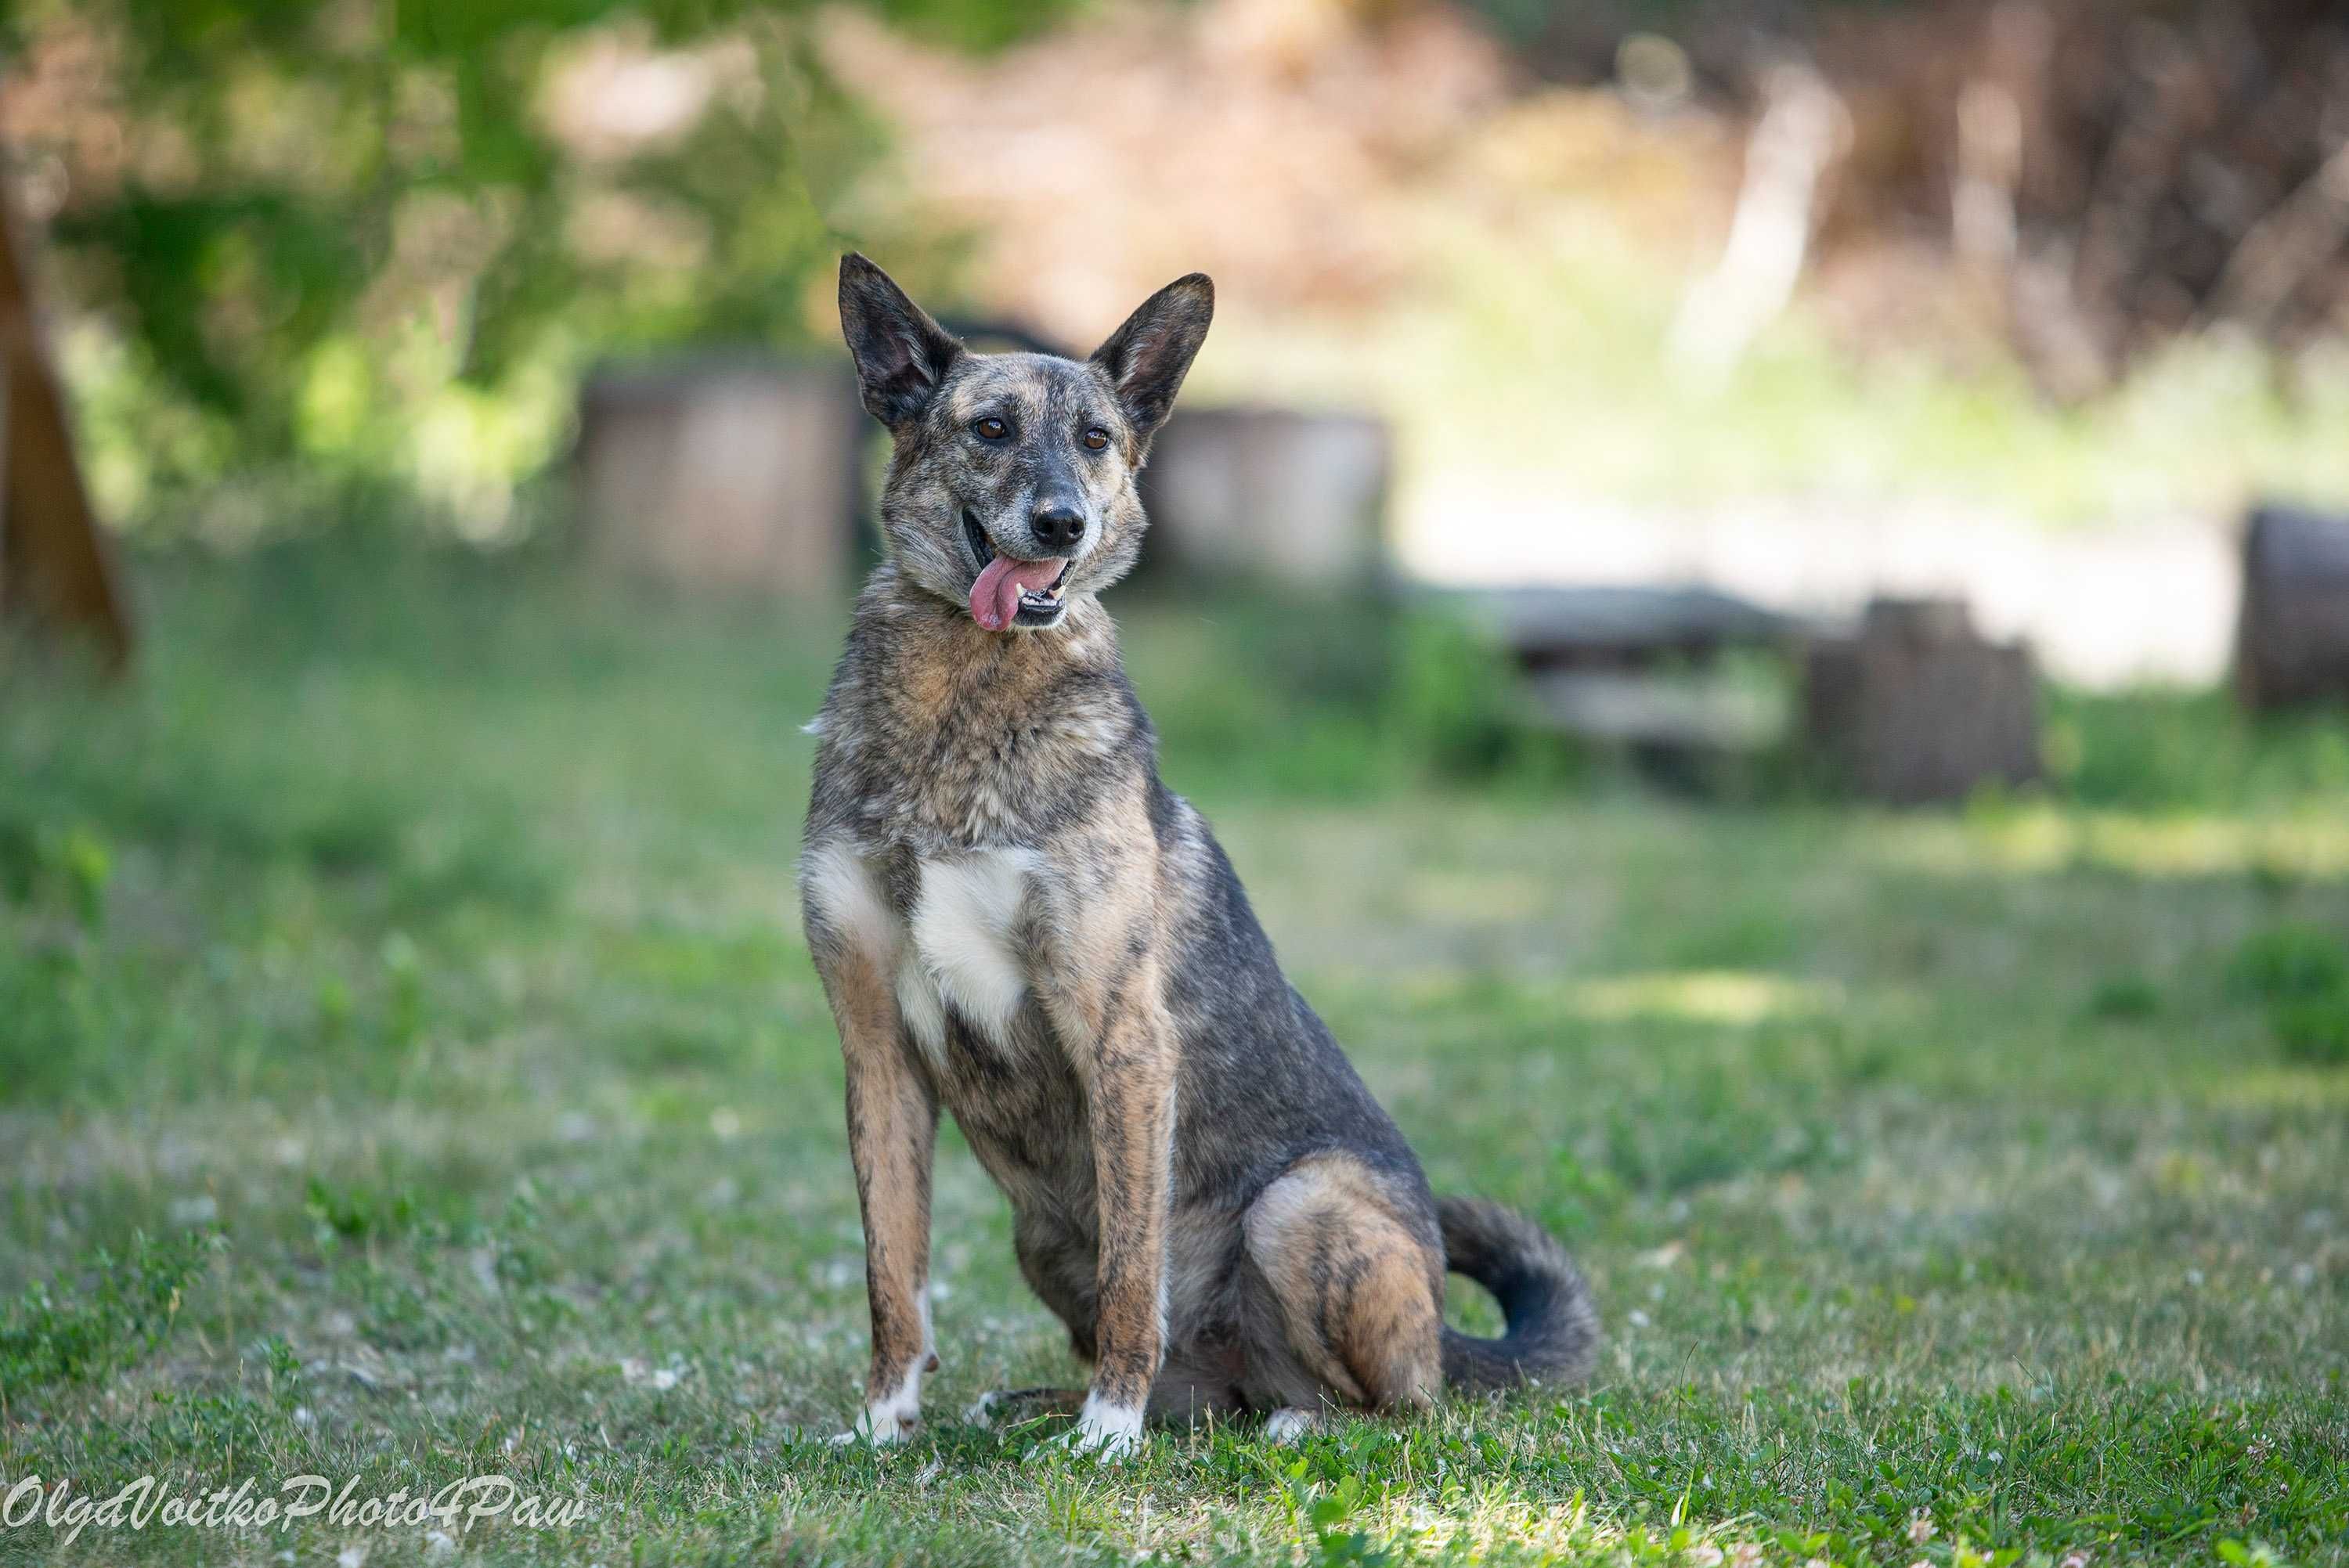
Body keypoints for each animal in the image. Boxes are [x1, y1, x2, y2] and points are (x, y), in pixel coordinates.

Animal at [803, 251, 1597, 1455]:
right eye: (989, 427)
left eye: (1096, 439)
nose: (1062, 523)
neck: (967, 695)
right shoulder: (877, 1051)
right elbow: (894, 1274)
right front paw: (884, 1419)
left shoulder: (1122, 1035)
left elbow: (1138, 1275)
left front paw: (1108, 1431)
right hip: (1043, 1235)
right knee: (1218, 1391)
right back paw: (1061, 1403)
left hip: (1299, 1208)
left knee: (1387, 1403)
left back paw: (1273, 1423)